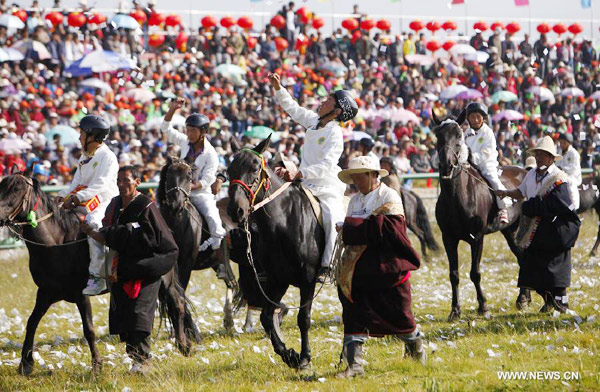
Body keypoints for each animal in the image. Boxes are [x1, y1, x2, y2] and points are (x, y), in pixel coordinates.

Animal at [0, 172, 190, 376]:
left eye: (16, 189)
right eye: (2, 185)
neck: (56, 245)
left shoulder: (81, 296)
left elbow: (88, 329)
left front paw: (97, 364)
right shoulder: (45, 293)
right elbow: (31, 322)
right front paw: (26, 363)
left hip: (165, 278)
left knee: (177, 304)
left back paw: (183, 345)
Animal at [157, 156, 239, 340]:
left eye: (189, 176)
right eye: (169, 175)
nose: (176, 205)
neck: (177, 222)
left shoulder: (186, 264)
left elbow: (181, 293)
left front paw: (191, 333)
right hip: (219, 261)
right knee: (231, 282)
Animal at [227, 136, 324, 370]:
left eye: (255, 168)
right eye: (228, 170)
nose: (236, 210)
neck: (285, 222)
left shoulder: (308, 280)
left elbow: (303, 318)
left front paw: (304, 357)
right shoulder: (277, 280)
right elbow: (266, 317)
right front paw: (289, 354)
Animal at [432, 113, 528, 322]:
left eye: (459, 136)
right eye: (437, 136)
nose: (446, 165)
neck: (456, 197)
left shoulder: (477, 238)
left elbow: (475, 273)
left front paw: (483, 306)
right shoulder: (448, 239)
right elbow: (453, 274)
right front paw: (455, 310)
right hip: (510, 230)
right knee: (521, 255)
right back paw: (524, 297)